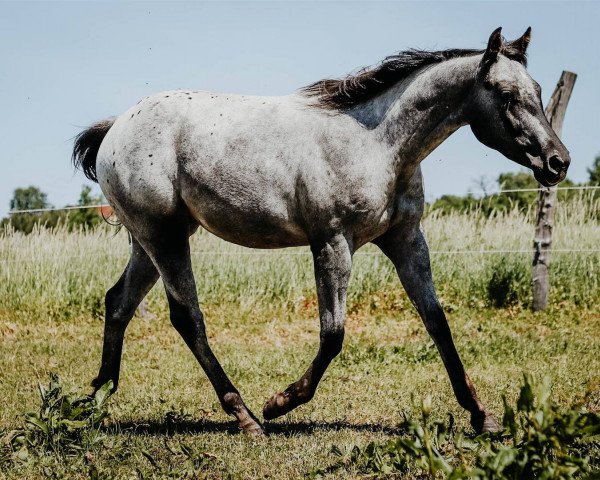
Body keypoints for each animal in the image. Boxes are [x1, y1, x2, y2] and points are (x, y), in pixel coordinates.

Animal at [75, 28, 572, 436]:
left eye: (538, 90)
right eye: (505, 93)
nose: (558, 162)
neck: (376, 144)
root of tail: (115, 128)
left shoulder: (407, 239)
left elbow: (438, 323)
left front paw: (481, 416)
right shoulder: (332, 243)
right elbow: (333, 334)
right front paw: (280, 403)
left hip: (150, 241)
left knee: (118, 302)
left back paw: (95, 398)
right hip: (165, 237)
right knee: (187, 317)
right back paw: (246, 417)